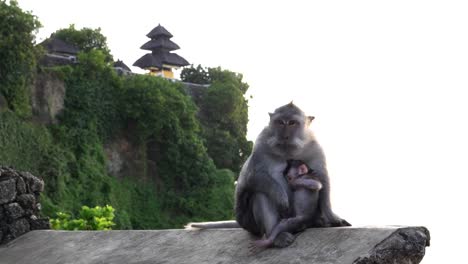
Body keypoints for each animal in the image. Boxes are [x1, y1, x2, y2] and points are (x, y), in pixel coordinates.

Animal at [236, 102, 350, 246]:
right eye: (280, 122)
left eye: (292, 123)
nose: (284, 136)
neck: (288, 150)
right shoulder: (261, 144)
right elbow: (252, 176)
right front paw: (280, 197)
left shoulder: (314, 146)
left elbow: (322, 178)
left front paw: (333, 218)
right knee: (261, 193)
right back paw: (275, 236)